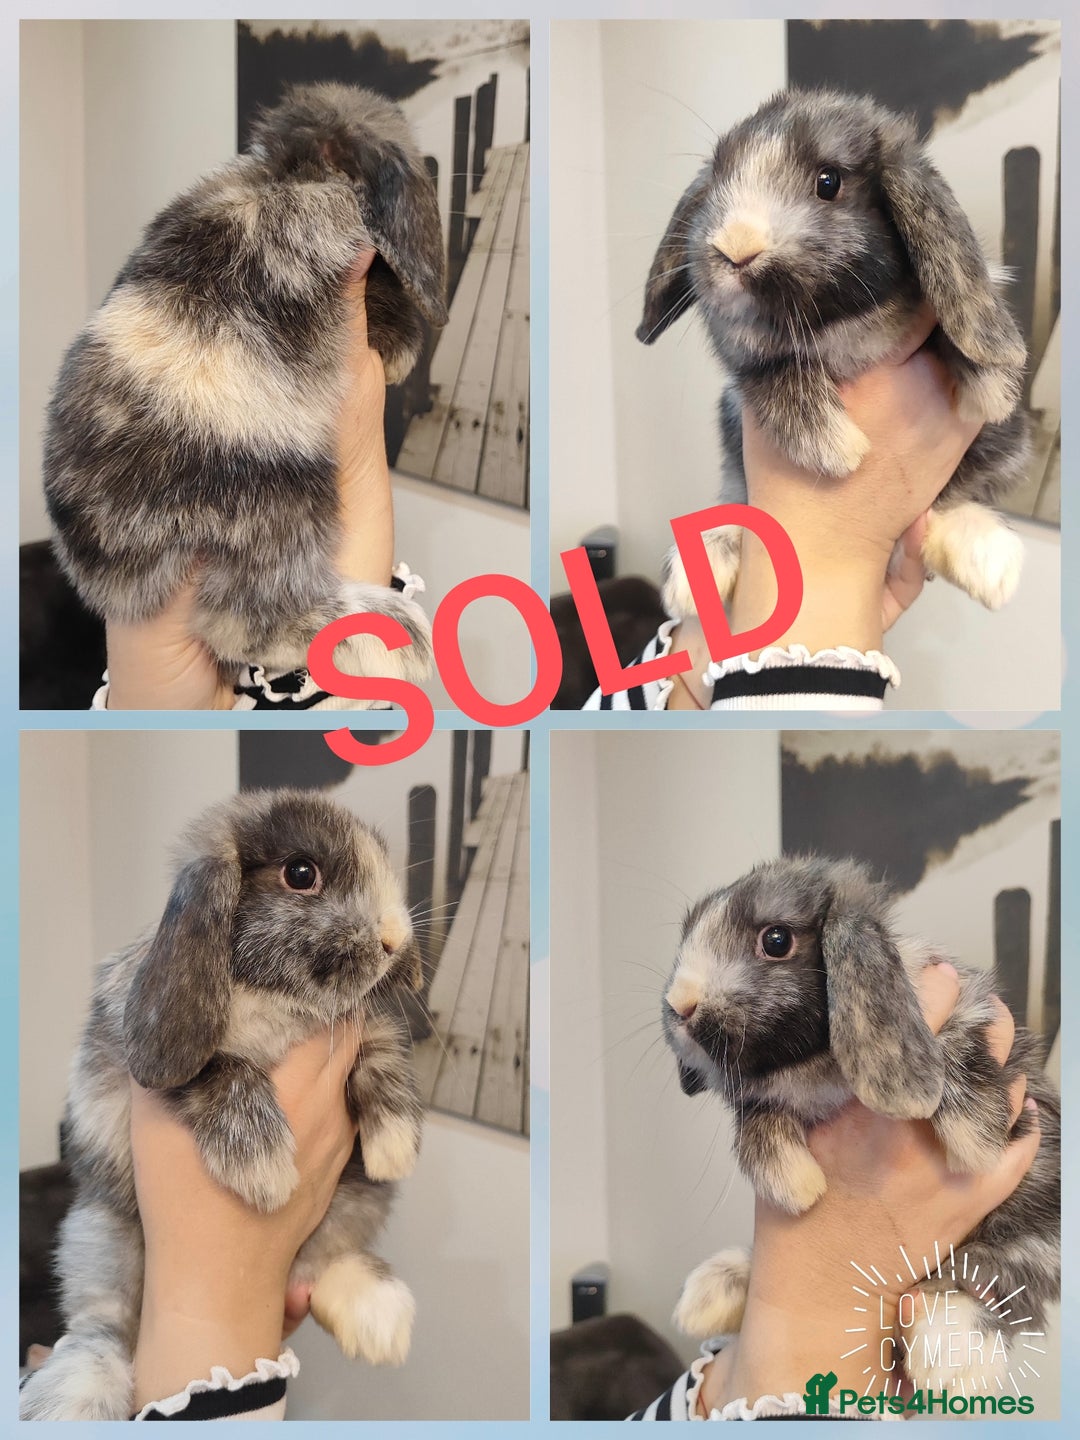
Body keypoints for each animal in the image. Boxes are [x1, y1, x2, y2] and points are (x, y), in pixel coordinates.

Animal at [19, 789, 426, 1421]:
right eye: (301, 873)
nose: (392, 938)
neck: (274, 997)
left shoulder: (361, 1032)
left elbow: (382, 1050)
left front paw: (394, 1147)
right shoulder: (146, 1056)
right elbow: (222, 1069)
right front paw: (267, 1174)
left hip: (352, 1204)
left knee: (328, 1258)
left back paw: (380, 1321)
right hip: (99, 1235)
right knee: (99, 1332)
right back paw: (70, 1399)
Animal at [43, 83, 448, 689]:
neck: (292, 173)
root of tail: (99, 557)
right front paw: (402, 352)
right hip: (283, 494)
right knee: (246, 619)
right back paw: (402, 635)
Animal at [638, 88, 1032, 619]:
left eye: (829, 182)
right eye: (718, 178)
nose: (735, 247)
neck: (840, 325)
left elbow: (956, 330)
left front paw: (989, 388)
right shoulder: (745, 365)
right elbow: (771, 373)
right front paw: (834, 445)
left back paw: (989, 561)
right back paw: (699, 569)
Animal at [662, 855, 1059, 1395]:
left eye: (776, 940)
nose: (680, 1004)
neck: (811, 1068)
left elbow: (954, 1048)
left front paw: (977, 1134)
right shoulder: (762, 1100)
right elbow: (757, 1120)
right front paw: (796, 1183)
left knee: (1005, 1266)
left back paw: (950, 1350)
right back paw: (713, 1290)